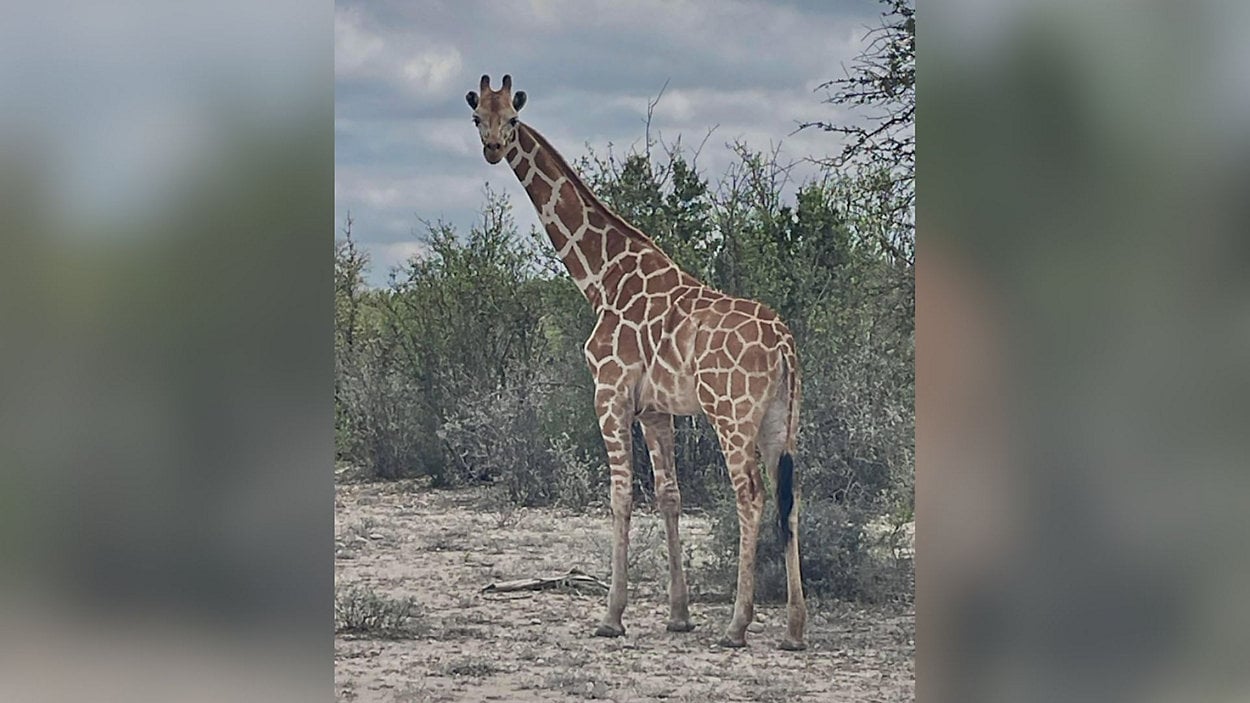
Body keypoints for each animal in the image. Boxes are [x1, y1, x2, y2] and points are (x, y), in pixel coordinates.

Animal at [466, 74, 806, 650]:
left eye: (512, 117)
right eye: (477, 117)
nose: (492, 148)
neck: (601, 278)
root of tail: (784, 344)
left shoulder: (610, 392)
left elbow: (621, 495)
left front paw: (611, 616)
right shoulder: (655, 408)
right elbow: (669, 495)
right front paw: (678, 614)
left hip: (732, 414)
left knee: (751, 496)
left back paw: (737, 625)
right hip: (781, 419)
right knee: (791, 497)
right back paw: (794, 629)